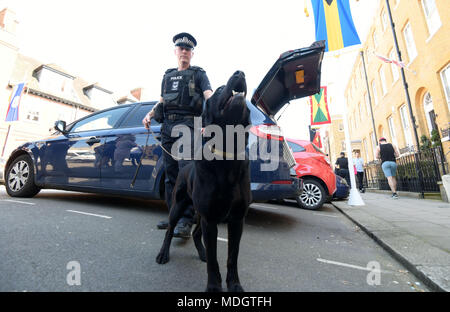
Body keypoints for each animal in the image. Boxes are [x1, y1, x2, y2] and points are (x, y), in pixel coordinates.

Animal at [156, 71, 251, 292]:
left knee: (197, 234)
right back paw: (163, 254)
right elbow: (215, 258)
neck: (227, 154)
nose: (240, 72)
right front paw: (214, 287)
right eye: (219, 89)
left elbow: (232, 257)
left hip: (200, 213)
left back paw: (201, 254)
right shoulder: (210, 217)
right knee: (170, 230)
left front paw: (234, 285)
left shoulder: (236, 219)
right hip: (179, 205)